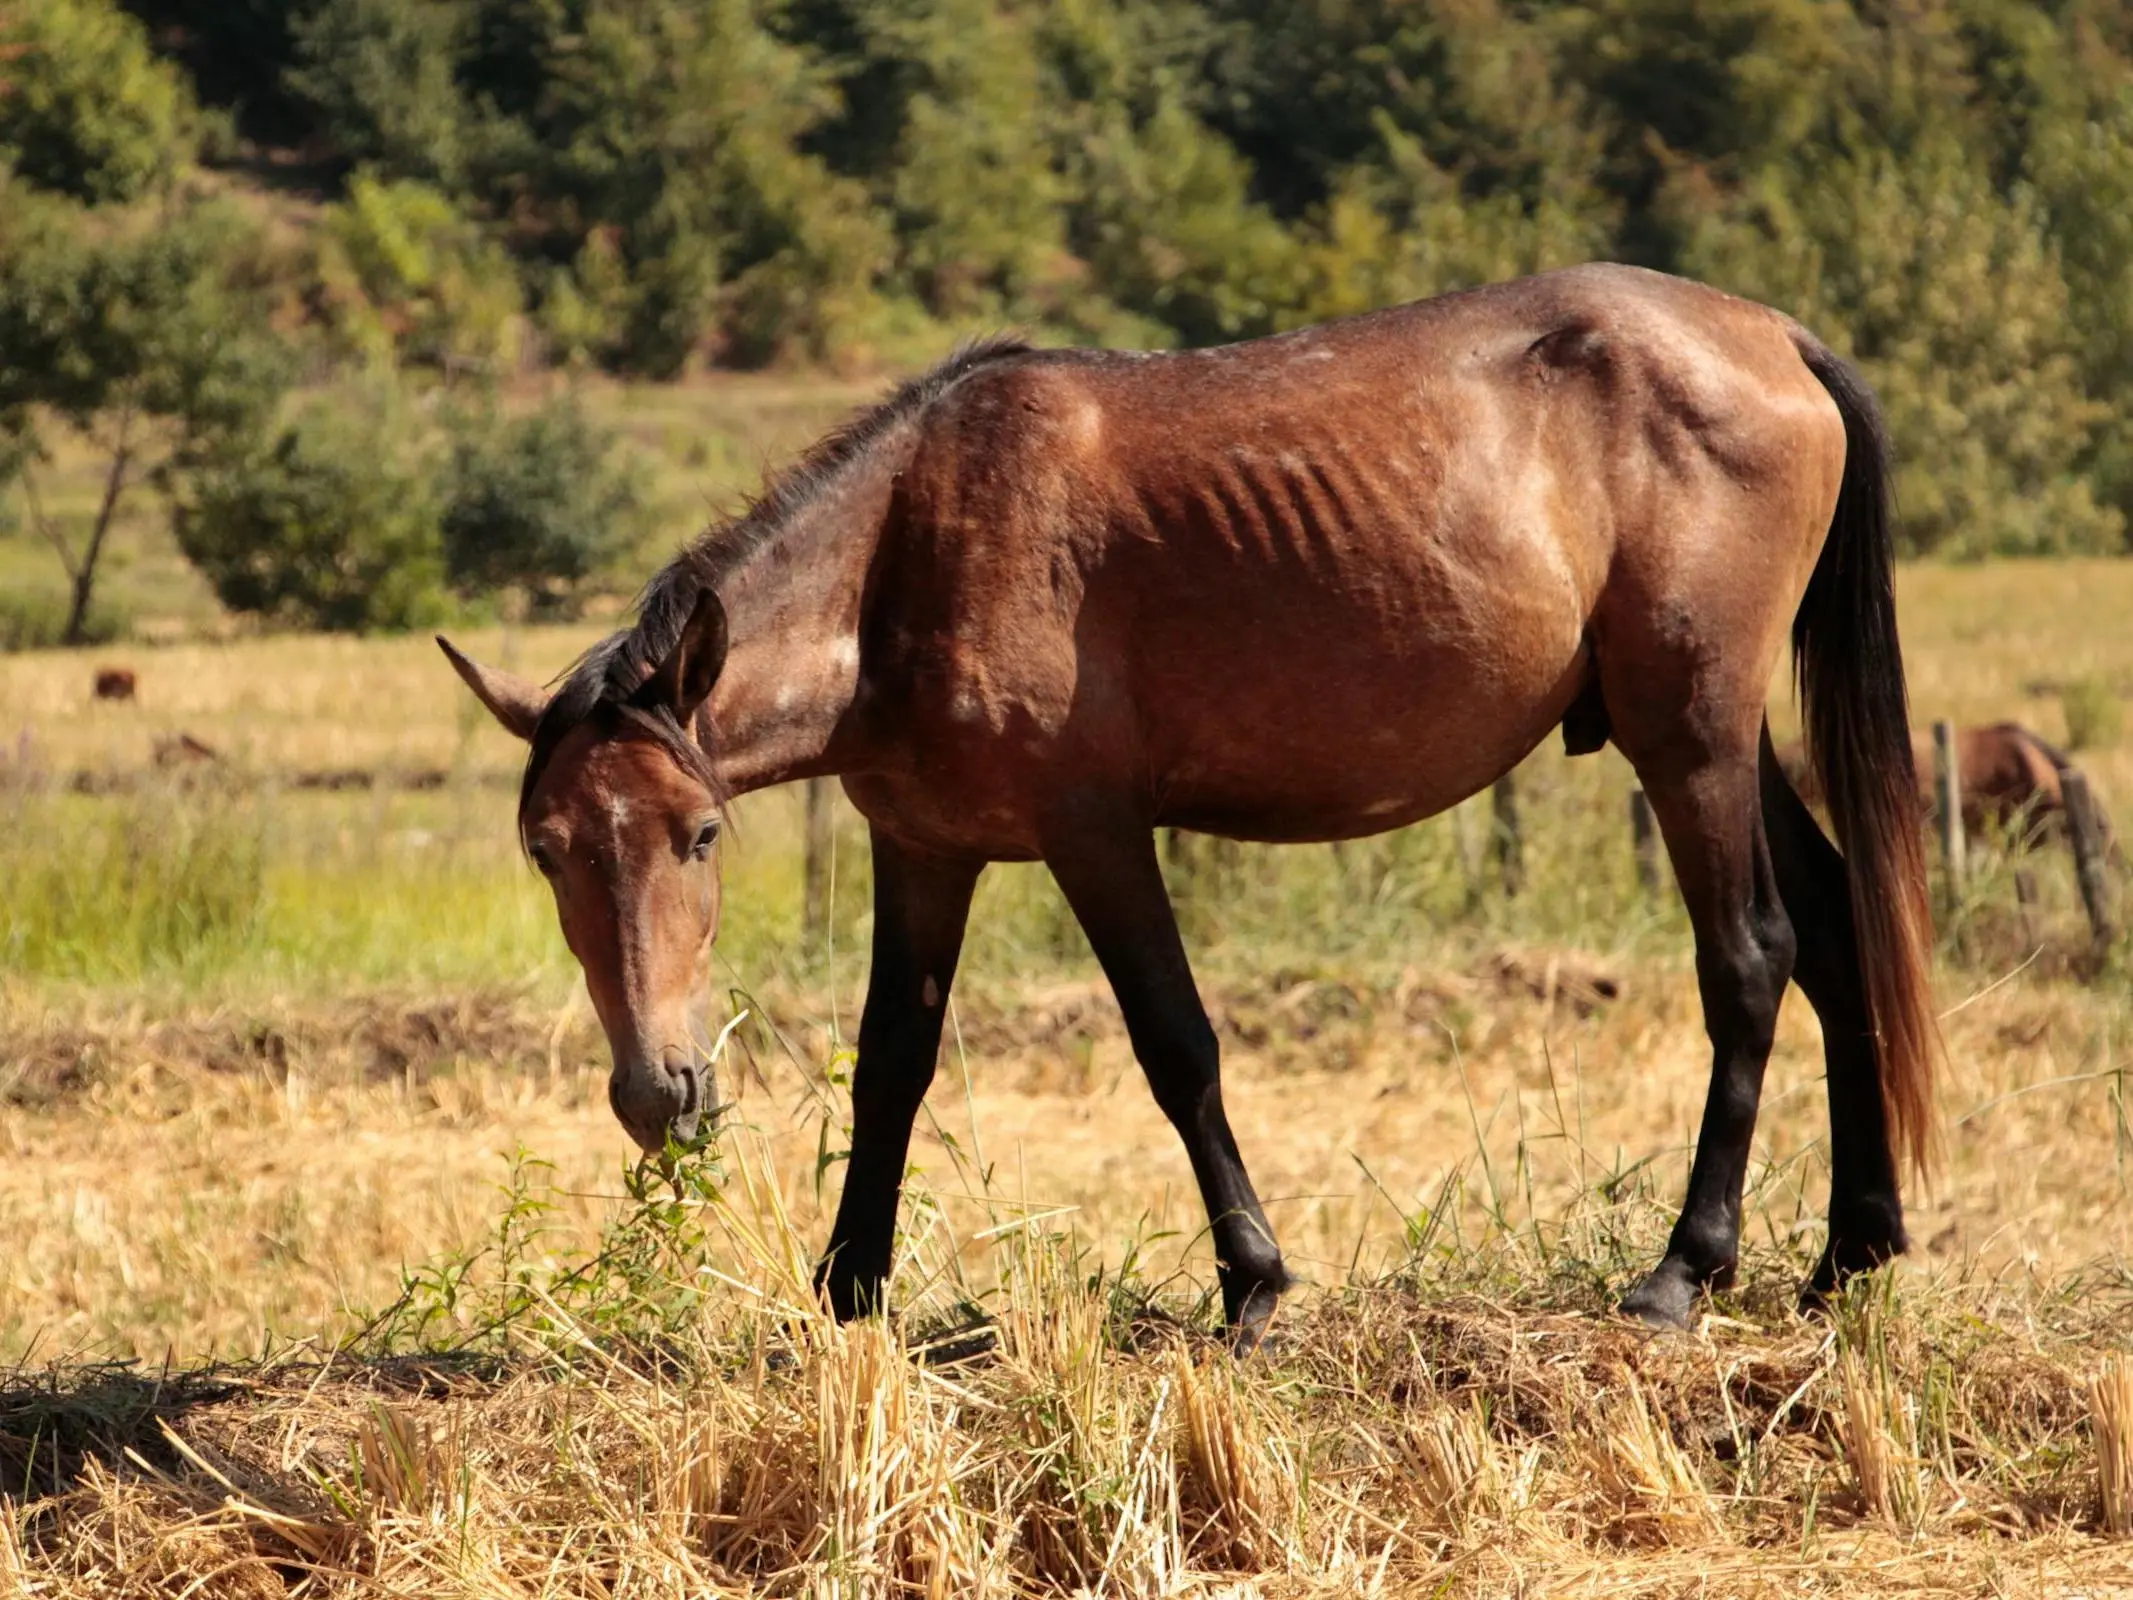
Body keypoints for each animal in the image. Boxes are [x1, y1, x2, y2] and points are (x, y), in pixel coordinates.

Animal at [441, 263, 1945, 1339]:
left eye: (698, 836)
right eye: (547, 852)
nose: (661, 1091)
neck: (911, 553)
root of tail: (1774, 339)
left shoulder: (1095, 835)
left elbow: (1178, 1048)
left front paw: (1254, 1282)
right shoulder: (922, 847)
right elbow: (892, 1066)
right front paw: (848, 1292)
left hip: (1687, 738)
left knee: (1749, 958)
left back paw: (1684, 1270)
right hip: (1714, 737)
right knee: (1833, 932)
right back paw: (1852, 1250)